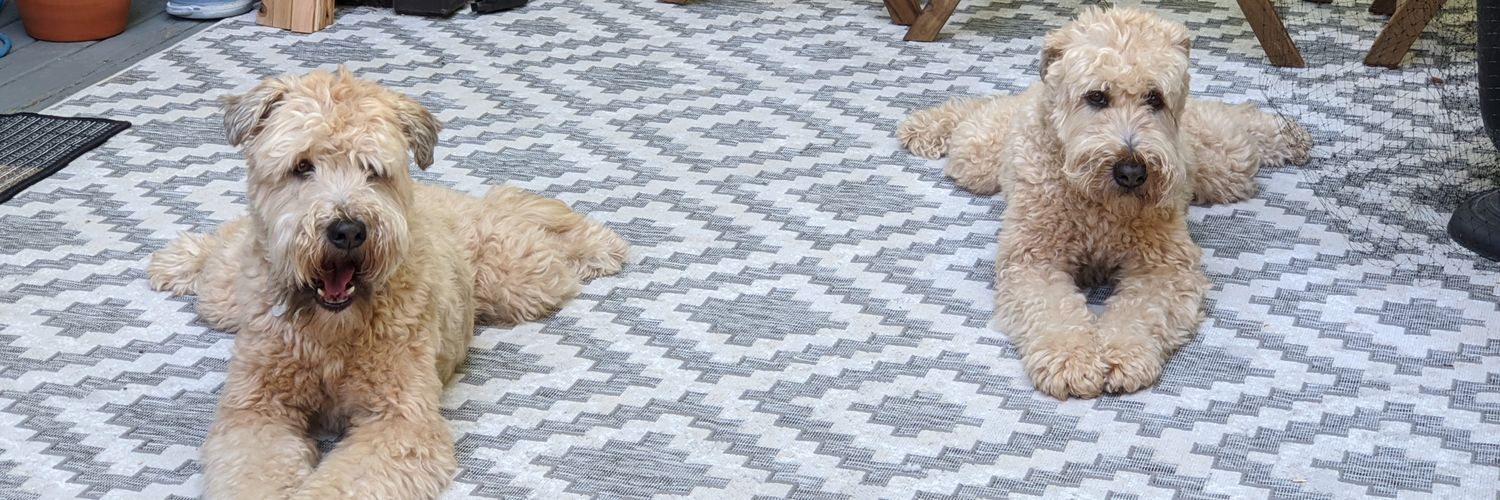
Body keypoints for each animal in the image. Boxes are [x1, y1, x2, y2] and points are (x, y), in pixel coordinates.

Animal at [147, 69, 629, 498]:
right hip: (224, 298)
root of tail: (450, 198)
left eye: (373, 170)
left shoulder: (397, 421)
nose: (347, 230)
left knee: (531, 226)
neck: (330, 335)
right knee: (222, 251)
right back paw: (179, 261)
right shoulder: (256, 410)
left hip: (519, 277)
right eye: (302, 166)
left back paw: (599, 245)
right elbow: (254, 473)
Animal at [898, 7, 1310, 399]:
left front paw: (1123, 354)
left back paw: (1288, 133)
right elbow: (1053, 312)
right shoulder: (1034, 261)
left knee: (1237, 118)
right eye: (1096, 96)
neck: (1095, 205)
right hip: (977, 157)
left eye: (1154, 97)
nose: (1131, 171)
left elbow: (1140, 312)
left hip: (1226, 164)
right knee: (983, 108)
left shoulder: (1163, 267)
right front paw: (1070, 359)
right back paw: (926, 125)